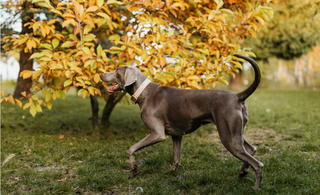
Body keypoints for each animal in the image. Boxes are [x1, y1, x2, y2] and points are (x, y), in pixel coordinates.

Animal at [99, 54, 262, 190]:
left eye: (117, 70)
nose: (100, 74)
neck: (143, 92)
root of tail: (237, 96)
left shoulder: (157, 134)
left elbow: (132, 148)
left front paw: (133, 167)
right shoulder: (177, 134)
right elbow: (176, 156)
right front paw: (171, 172)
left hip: (228, 135)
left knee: (258, 163)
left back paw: (256, 187)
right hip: (235, 132)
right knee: (251, 149)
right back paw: (243, 172)